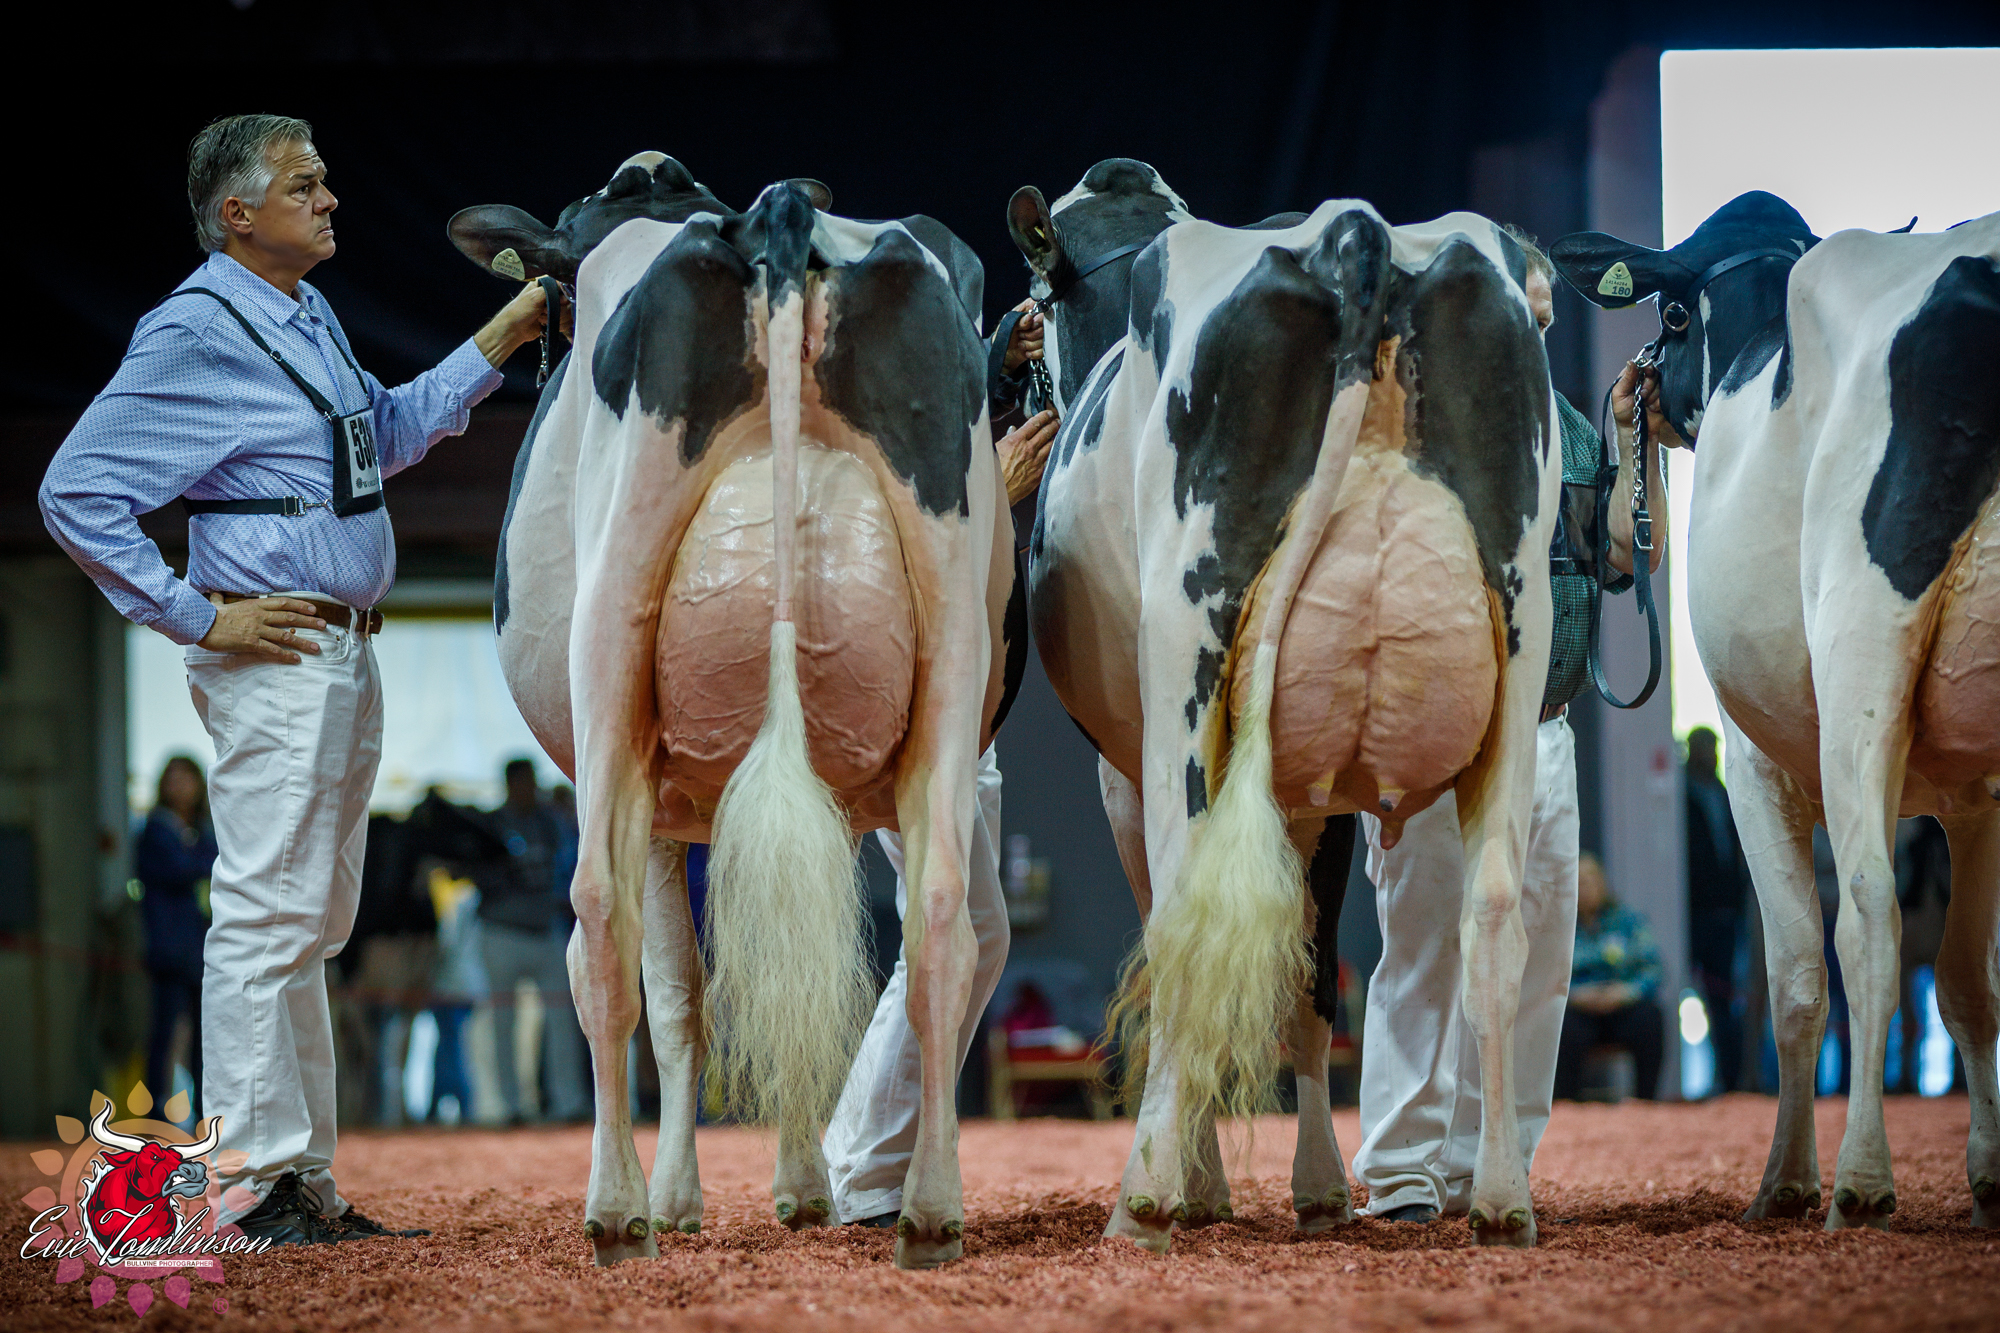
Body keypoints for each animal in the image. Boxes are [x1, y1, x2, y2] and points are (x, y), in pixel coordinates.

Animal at [449, 152, 1016, 1269]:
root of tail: (773, 219)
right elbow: (800, 962)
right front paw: (797, 1187)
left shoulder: (658, 798)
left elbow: (678, 996)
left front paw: (680, 1198)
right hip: (950, 641)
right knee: (937, 920)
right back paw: (931, 1210)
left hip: (610, 650)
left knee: (599, 925)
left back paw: (615, 1209)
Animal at [1010, 159, 1560, 1249]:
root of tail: (1358, 233)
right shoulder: (1319, 790)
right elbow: (1307, 970)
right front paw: (1313, 1186)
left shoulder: (1123, 769)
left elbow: (1190, 936)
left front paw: (1203, 1181)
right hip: (1520, 648)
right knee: (1489, 915)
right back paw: (1500, 1201)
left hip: (1186, 655)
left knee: (1187, 917)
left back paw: (1140, 1201)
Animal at [1552, 193, 2000, 1230]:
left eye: (1671, 318)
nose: (1639, 388)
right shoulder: (1975, 791)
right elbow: (1968, 981)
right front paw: (1991, 1169)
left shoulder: (1757, 765)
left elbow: (1798, 968)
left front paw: (1787, 1179)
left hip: (1861, 654)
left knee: (1867, 913)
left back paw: (1863, 1179)